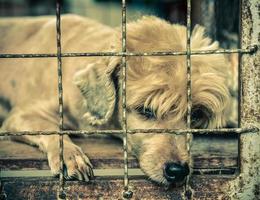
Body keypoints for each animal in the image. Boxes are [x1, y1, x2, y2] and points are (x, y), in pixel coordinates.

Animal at [0, 14, 236, 186]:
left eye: (195, 115)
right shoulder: (22, 116)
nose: (178, 171)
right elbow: (53, 130)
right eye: (145, 110)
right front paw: (69, 155)